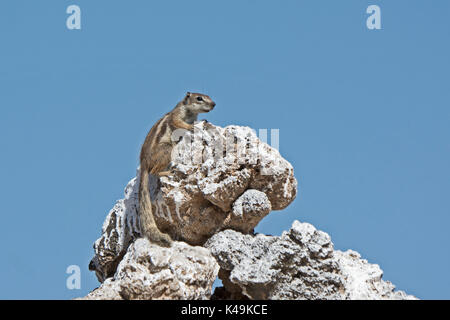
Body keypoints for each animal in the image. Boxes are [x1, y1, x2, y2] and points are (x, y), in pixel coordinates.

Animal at [139, 92, 216, 248]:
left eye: (209, 96)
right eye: (199, 98)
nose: (213, 104)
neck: (190, 111)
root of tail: (143, 163)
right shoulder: (176, 115)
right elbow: (177, 123)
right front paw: (192, 127)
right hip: (166, 149)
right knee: (153, 171)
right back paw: (168, 171)